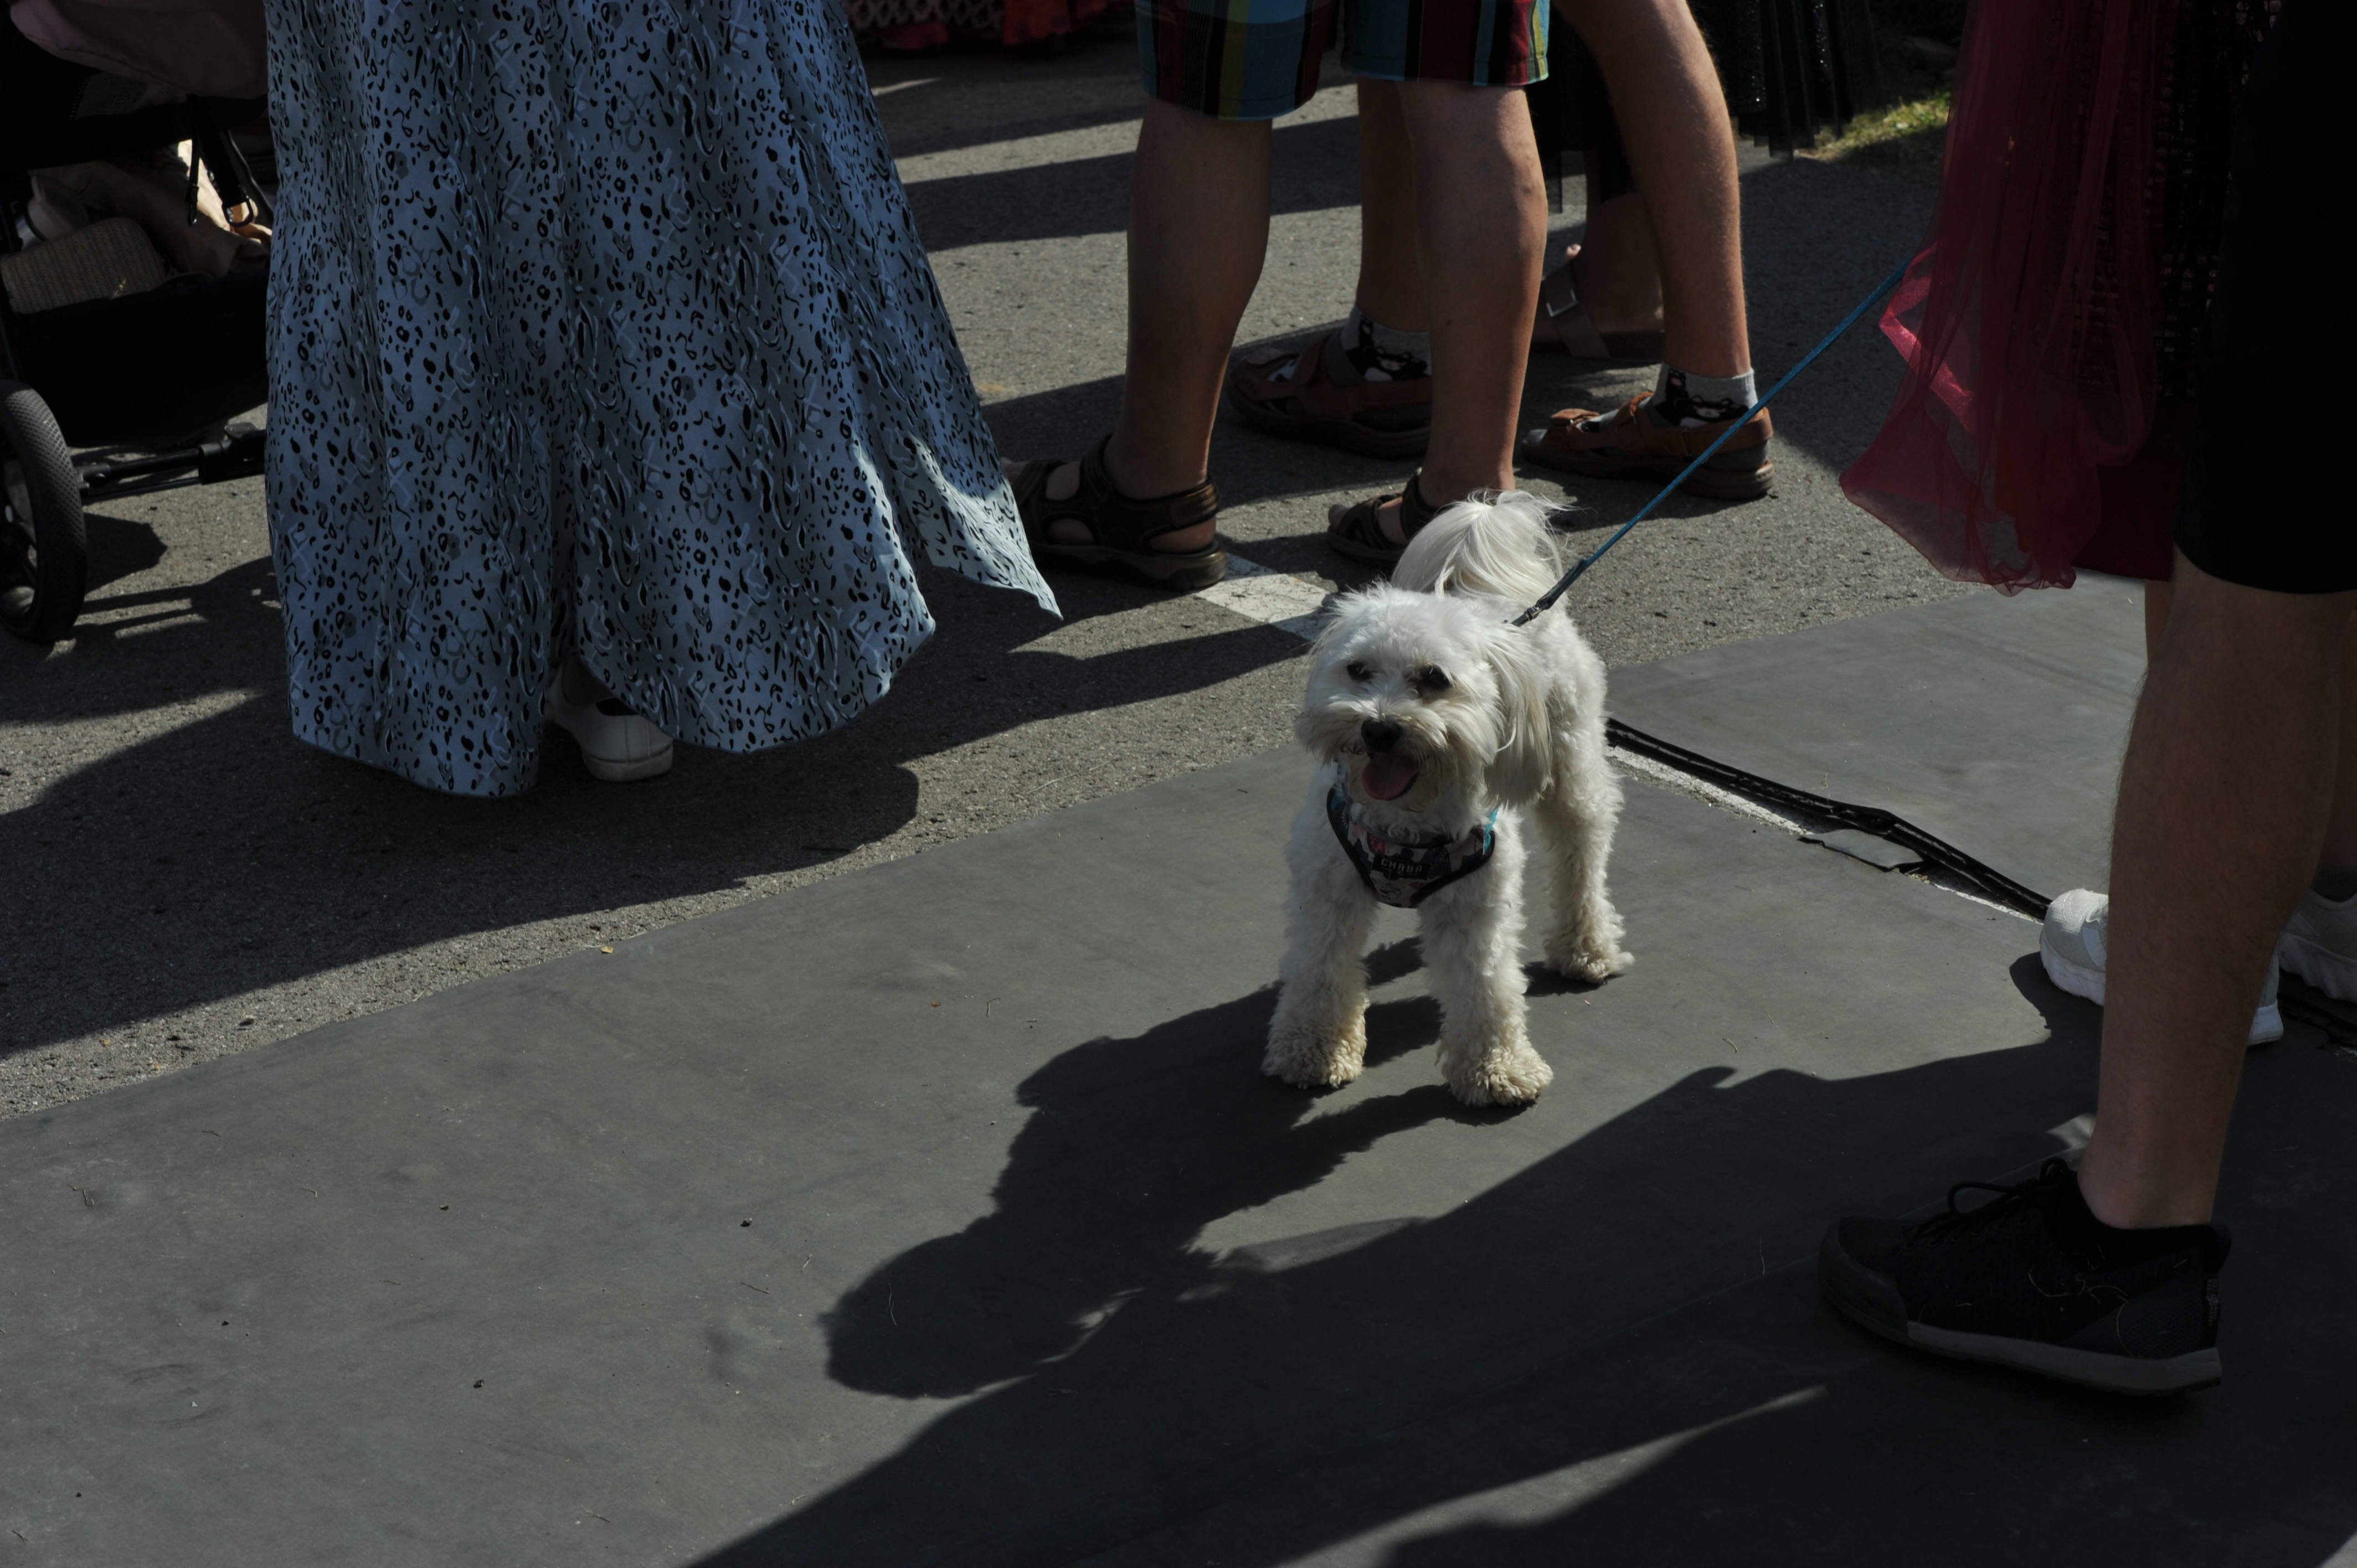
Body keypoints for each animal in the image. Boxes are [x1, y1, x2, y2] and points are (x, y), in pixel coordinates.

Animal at [1265, 491, 1631, 1106]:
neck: (1403, 823)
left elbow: (1486, 986)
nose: (1378, 728)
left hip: (1570, 760)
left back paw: (1587, 945)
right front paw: (1312, 1050)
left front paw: (1497, 1068)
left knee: (1581, 851)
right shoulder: (1327, 888)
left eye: (1434, 679)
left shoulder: (1475, 906)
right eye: (1357, 670)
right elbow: (1319, 970)